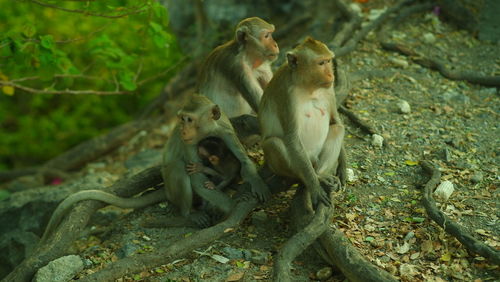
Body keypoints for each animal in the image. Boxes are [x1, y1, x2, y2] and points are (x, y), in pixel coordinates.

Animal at [41, 94, 270, 240]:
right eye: (181, 118)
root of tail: (167, 191)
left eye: (189, 119)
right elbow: (196, 179)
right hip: (171, 185)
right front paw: (231, 206)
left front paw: (257, 184)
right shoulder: (189, 143)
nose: (182, 128)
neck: (206, 132)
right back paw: (189, 212)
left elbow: (243, 160)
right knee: (178, 168)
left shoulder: (225, 128)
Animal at [260, 37, 346, 209]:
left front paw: (343, 165)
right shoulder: (286, 95)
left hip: (315, 160)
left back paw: (321, 174)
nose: (330, 74)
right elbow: (292, 138)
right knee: (274, 143)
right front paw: (314, 187)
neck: (308, 86)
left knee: (338, 129)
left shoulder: (329, 89)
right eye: (321, 63)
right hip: (292, 163)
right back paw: (314, 179)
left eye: (328, 61)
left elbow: (335, 121)